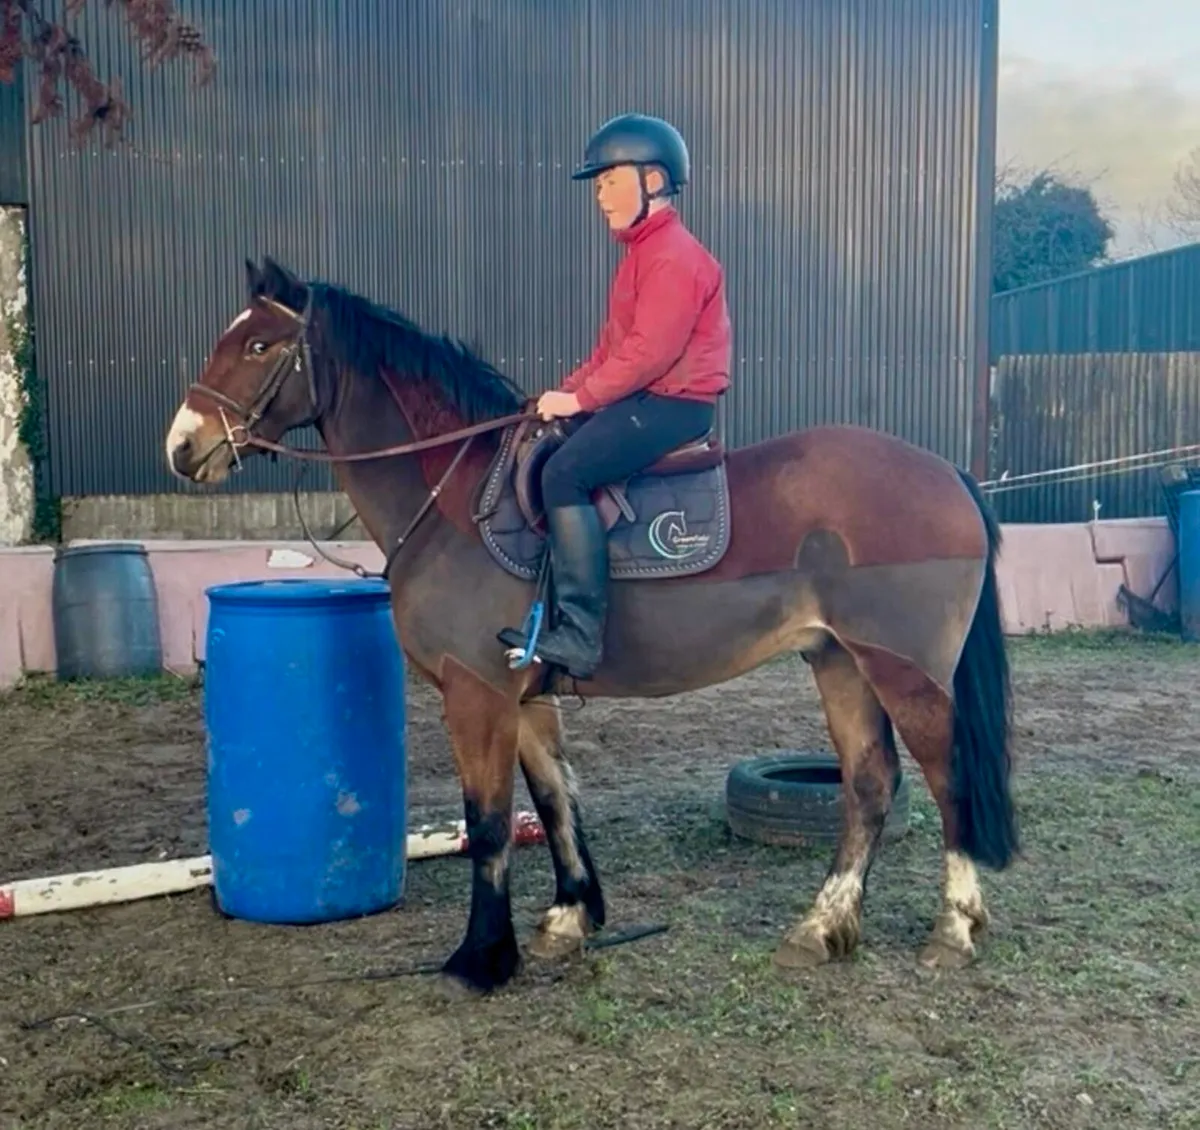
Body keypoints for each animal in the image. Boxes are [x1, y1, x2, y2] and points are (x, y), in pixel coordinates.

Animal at [165, 256, 1018, 994]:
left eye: (259, 345)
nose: (182, 447)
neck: (452, 502)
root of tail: (946, 473)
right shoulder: (525, 696)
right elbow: (553, 800)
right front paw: (571, 916)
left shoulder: (475, 694)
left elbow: (488, 823)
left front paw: (482, 957)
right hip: (839, 661)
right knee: (870, 782)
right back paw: (822, 926)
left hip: (904, 670)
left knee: (947, 779)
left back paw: (954, 927)